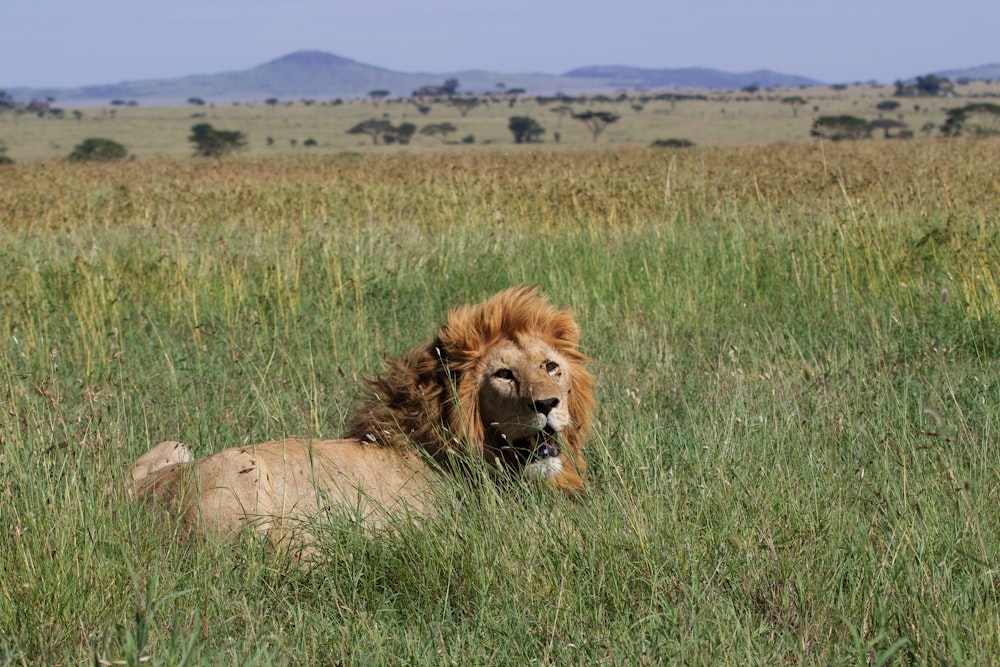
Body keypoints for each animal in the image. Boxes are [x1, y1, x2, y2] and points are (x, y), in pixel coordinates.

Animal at [128, 284, 588, 544]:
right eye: (504, 374)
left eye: (551, 366)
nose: (548, 404)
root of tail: (135, 505)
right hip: (246, 471)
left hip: (174, 446)